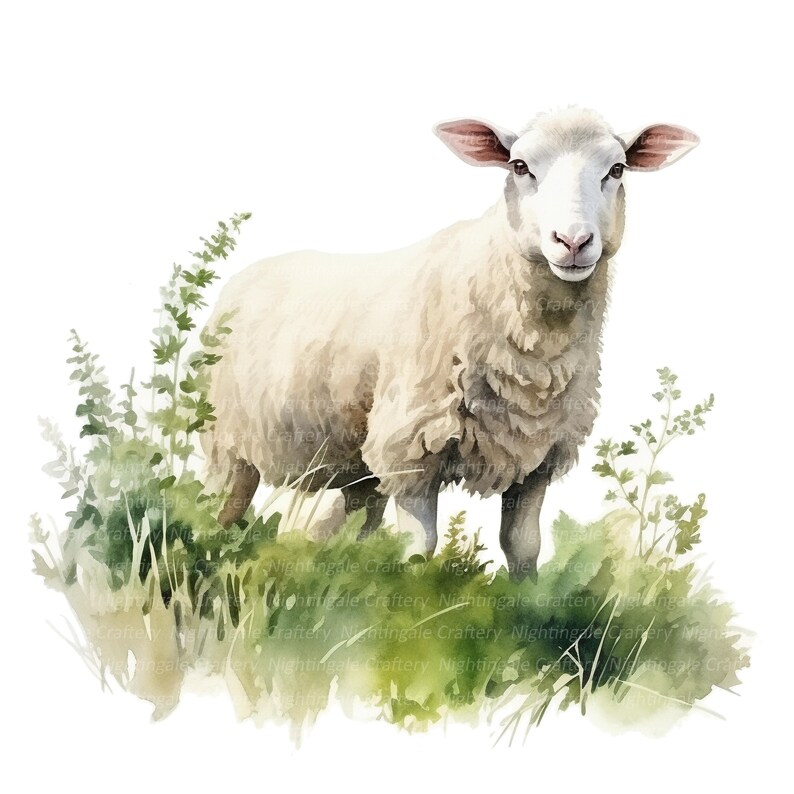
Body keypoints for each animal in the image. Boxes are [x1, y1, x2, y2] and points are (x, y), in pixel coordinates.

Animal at [203, 106, 699, 580]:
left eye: (616, 169)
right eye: (520, 166)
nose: (573, 241)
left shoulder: (538, 455)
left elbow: (523, 548)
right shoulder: (410, 446)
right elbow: (418, 550)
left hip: (352, 467)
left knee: (332, 530)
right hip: (227, 446)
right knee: (216, 511)